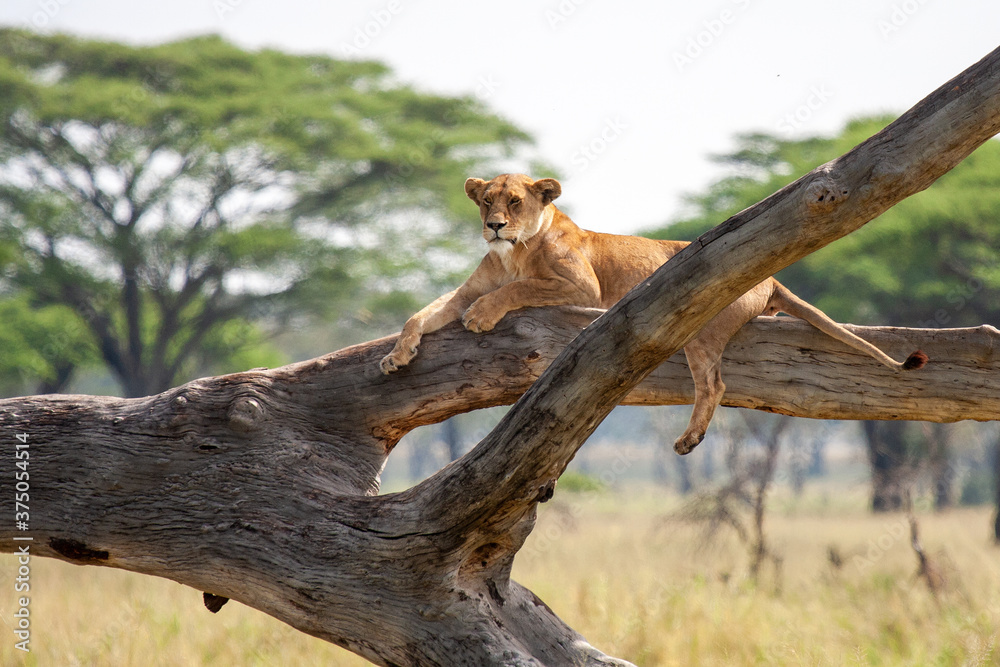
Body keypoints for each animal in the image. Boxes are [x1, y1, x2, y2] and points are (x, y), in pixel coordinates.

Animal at [380, 173, 927, 454]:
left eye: (514, 202)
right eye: (486, 202)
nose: (494, 226)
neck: (511, 253)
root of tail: (770, 278)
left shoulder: (582, 287)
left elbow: (516, 290)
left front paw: (481, 316)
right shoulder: (465, 290)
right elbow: (420, 314)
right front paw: (396, 357)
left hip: (702, 325)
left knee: (715, 385)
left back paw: (688, 439)